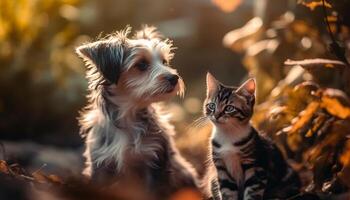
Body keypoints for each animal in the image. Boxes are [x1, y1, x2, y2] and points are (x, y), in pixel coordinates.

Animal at [204, 72, 300, 200]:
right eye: (212, 106)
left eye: (229, 108)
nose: (216, 115)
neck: (228, 134)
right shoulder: (221, 169)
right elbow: (227, 192)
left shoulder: (255, 167)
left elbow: (252, 193)